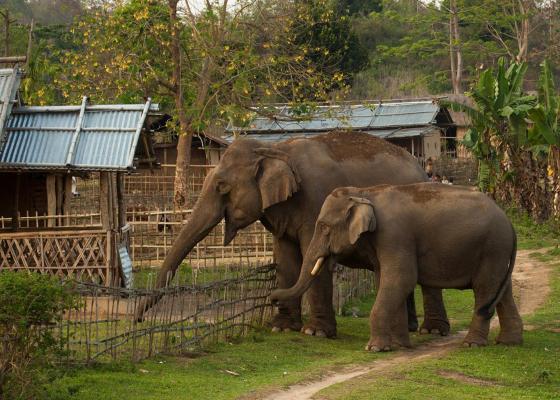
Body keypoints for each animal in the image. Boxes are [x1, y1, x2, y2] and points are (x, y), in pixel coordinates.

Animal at [137, 131, 450, 338]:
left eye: (222, 186)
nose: (139, 319)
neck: (274, 149)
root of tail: (421, 167)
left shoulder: (318, 201)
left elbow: (314, 259)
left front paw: (315, 333)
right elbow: (285, 258)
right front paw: (282, 327)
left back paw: (432, 331)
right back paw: (411, 328)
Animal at [270, 183, 524, 352]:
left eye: (323, 227)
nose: (272, 298)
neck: (365, 193)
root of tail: (510, 224)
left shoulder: (395, 235)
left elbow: (401, 279)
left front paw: (374, 348)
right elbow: (387, 281)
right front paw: (399, 346)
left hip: (492, 248)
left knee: (484, 290)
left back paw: (472, 344)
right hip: (498, 254)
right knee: (501, 292)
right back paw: (508, 342)